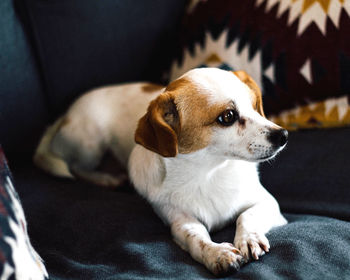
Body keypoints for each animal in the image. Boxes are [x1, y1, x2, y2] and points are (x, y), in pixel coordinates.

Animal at [34, 68, 288, 276]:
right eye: (227, 117)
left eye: (255, 107)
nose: (283, 135)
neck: (208, 172)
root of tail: (65, 115)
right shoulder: (177, 219)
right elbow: (195, 236)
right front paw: (216, 254)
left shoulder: (268, 203)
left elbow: (247, 215)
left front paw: (249, 238)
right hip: (91, 142)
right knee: (76, 167)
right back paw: (106, 178)